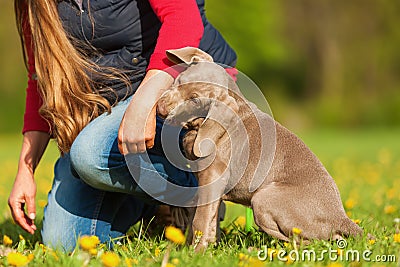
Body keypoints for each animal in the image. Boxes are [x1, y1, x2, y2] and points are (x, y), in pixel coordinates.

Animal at [156, 46, 362, 251]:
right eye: (180, 80)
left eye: (195, 100)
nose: (161, 107)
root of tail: (341, 217)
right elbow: (209, 219)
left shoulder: (213, 176)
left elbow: (200, 218)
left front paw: (195, 252)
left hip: (262, 198)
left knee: (304, 241)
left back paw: (257, 248)